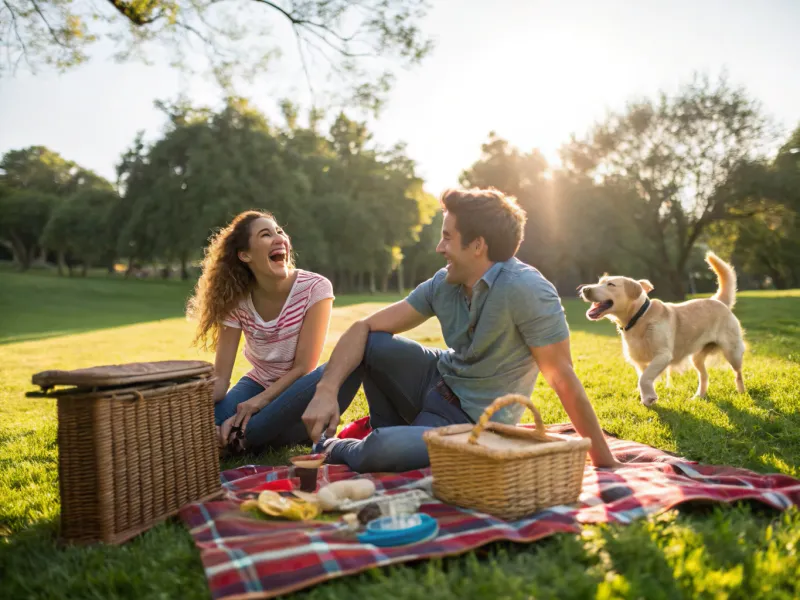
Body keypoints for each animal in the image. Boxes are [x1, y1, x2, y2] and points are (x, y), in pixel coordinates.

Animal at [580, 251, 744, 406]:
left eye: (611, 284)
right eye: (599, 282)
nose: (585, 289)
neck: (639, 317)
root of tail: (718, 300)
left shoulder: (662, 355)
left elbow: (644, 378)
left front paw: (649, 397)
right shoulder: (639, 361)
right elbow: (643, 377)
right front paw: (647, 397)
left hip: (732, 352)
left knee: (738, 373)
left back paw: (742, 392)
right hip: (696, 357)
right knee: (704, 375)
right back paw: (699, 396)